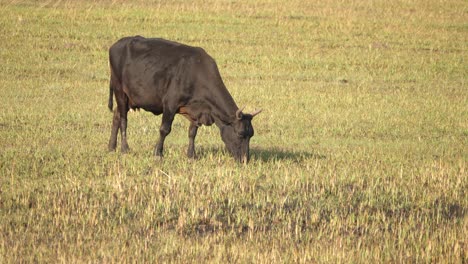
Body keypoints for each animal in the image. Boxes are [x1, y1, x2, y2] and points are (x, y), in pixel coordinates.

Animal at [107, 35, 260, 163]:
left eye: (251, 135)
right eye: (240, 134)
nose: (245, 160)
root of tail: (117, 44)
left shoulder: (197, 111)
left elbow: (192, 132)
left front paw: (191, 155)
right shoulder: (170, 104)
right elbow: (164, 129)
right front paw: (158, 153)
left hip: (129, 98)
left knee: (116, 116)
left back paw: (111, 147)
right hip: (120, 91)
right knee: (123, 120)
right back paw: (124, 148)